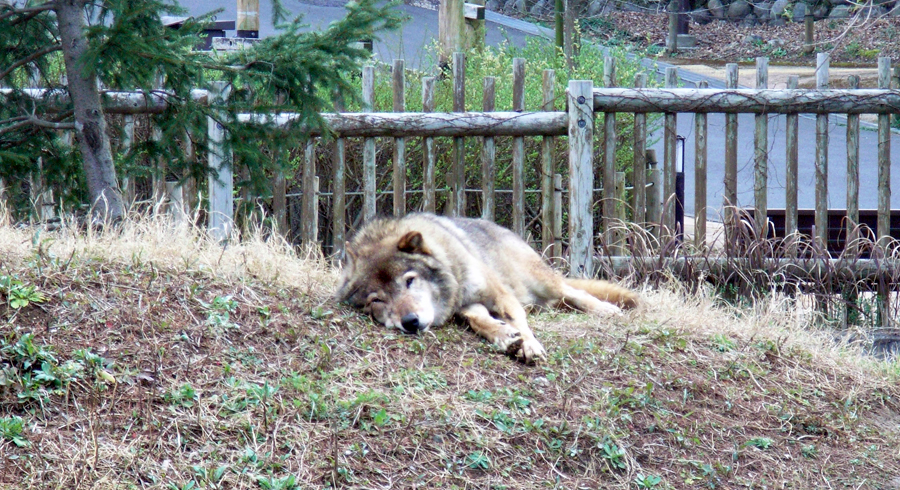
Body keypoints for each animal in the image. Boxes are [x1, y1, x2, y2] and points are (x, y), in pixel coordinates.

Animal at [338, 212, 640, 362]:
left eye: (410, 281)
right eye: (377, 301)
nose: (410, 322)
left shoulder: (499, 295)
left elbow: (519, 321)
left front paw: (529, 345)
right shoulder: (468, 305)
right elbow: (480, 321)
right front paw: (505, 336)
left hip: (544, 282)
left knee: (576, 292)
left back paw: (607, 310)